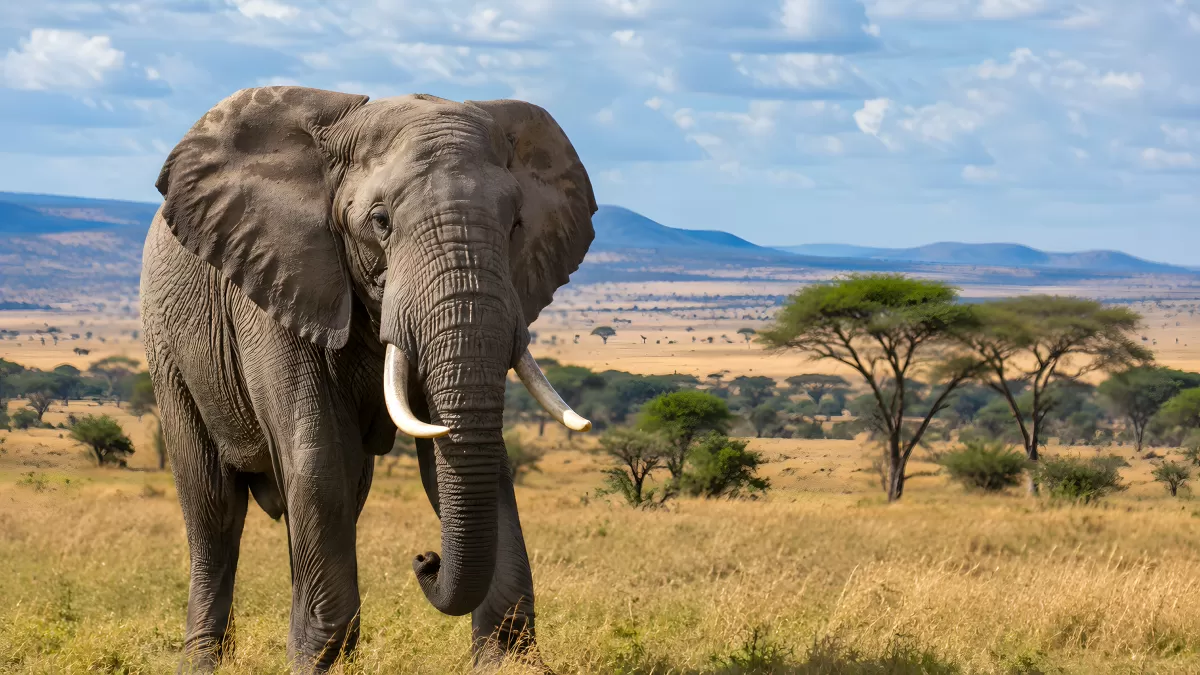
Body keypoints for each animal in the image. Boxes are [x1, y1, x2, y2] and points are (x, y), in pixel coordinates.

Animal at [139, 86, 596, 673]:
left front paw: (506, 661)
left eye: (517, 223)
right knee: (213, 508)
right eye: (380, 221)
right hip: (166, 344)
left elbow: (469, 462)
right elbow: (319, 460)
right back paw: (203, 662)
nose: (425, 557)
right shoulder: (279, 279)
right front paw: (316, 661)